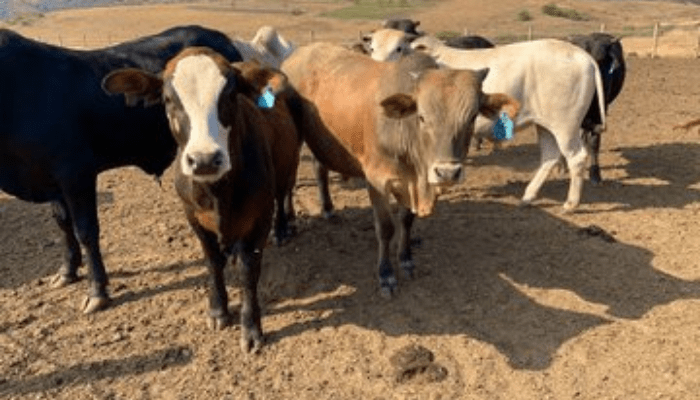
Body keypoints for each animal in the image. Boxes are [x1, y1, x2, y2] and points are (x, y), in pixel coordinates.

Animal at [0, 26, 243, 314]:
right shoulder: (51, 181)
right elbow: (63, 224)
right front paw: (67, 271)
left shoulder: (77, 174)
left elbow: (86, 231)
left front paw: (97, 291)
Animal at [103, 48, 304, 353]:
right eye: (168, 99)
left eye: (230, 95)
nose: (205, 160)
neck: (218, 192)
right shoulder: (193, 216)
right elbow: (212, 261)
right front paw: (218, 310)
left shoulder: (260, 215)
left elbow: (249, 270)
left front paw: (251, 328)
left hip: (288, 167)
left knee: (284, 195)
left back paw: (282, 229)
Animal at [281, 43, 519, 297]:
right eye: (422, 117)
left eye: (473, 117)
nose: (447, 173)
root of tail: (298, 53)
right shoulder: (376, 180)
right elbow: (385, 228)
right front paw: (385, 274)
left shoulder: (410, 183)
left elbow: (406, 221)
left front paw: (406, 258)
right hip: (294, 141)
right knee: (289, 182)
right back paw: (290, 223)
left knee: (319, 169)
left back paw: (327, 209)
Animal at [367, 32, 606, 212]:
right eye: (371, 48)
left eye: (398, 48)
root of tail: (583, 56)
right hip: (546, 125)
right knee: (550, 157)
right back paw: (528, 197)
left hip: (565, 126)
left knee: (576, 158)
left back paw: (570, 204)